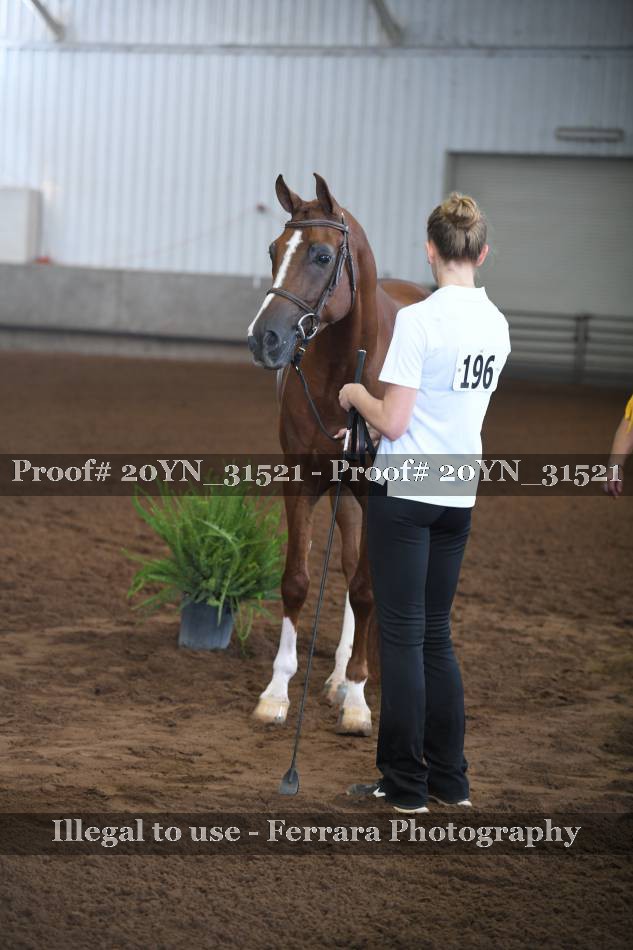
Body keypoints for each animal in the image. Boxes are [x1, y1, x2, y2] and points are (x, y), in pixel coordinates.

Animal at [247, 172, 430, 735]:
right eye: (273, 250)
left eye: (323, 256)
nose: (264, 339)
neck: (345, 377)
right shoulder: (303, 481)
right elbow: (297, 582)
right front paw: (276, 692)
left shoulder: (377, 492)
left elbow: (369, 590)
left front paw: (358, 701)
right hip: (344, 497)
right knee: (348, 567)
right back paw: (336, 676)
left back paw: (350, 680)